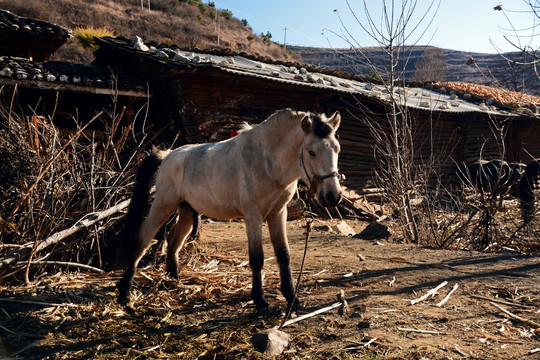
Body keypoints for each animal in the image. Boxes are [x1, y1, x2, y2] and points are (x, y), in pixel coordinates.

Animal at [118, 109, 342, 316]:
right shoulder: (253, 217)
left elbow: (284, 255)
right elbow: (257, 258)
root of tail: (168, 156)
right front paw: (261, 303)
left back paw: (173, 280)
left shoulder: (278, 214)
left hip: (187, 212)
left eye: (337, 149)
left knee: (173, 243)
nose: (333, 196)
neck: (267, 162)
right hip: (163, 205)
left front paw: (292, 299)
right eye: (311, 152)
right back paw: (124, 293)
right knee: (142, 239)